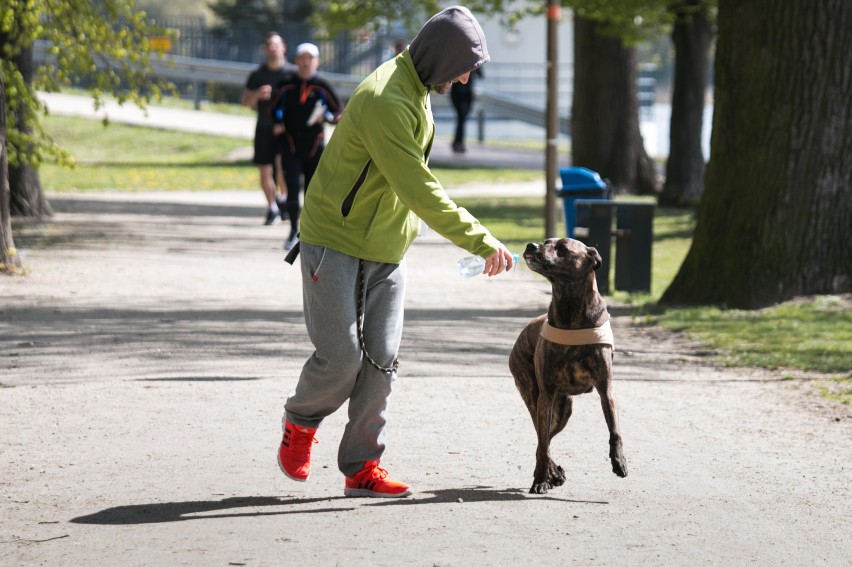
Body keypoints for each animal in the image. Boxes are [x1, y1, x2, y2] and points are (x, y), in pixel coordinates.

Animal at [512, 237, 624, 494]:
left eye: (562, 247)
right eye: (546, 242)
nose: (532, 245)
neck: (570, 305)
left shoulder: (606, 389)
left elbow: (614, 430)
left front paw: (619, 462)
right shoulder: (546, 395)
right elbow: (543, 443)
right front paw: (541, 480)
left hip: (563, 408)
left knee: (544, 440)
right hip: (538, 399)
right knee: (542, 440)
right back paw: (549, 474)